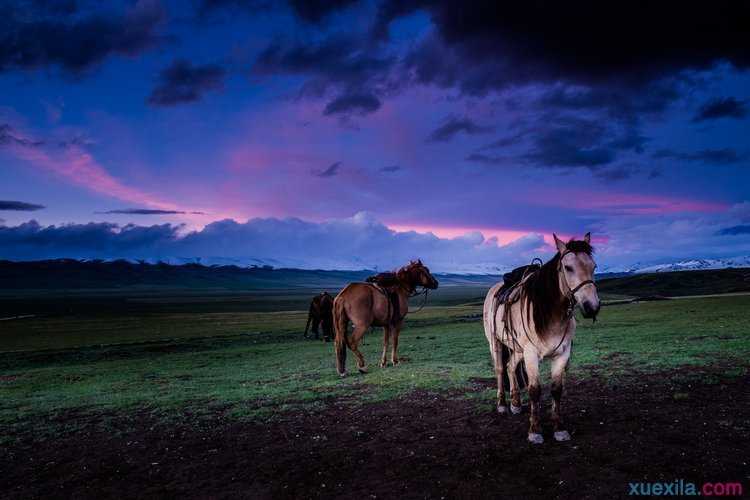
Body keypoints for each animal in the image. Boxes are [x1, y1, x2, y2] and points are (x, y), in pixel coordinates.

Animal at [484, 232, 604, 444]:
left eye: (594, 266)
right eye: (568, 267)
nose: (592, 307)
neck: (550, 314)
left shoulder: (562, 353)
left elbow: (556, 389)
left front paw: (559, 428)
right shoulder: (532, 354)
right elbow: (535, 390)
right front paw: (535, 431)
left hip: (517, 348)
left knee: (511, 366)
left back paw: (515, 402)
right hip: (496, 343)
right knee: (500, 369)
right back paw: (502, 404)